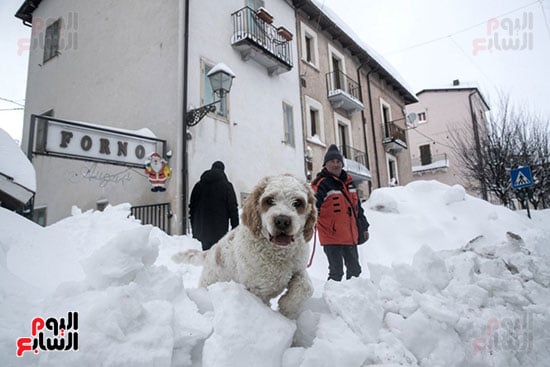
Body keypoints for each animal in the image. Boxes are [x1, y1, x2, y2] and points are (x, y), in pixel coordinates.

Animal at [172, 175, 320, 320]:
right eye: (269, 200)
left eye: (298, 202)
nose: (282, 221)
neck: (278, 254)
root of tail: (211, 251)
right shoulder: (256, 290)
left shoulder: (299, 269)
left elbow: (306, 287)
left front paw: (287, 307)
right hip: (209, 281)